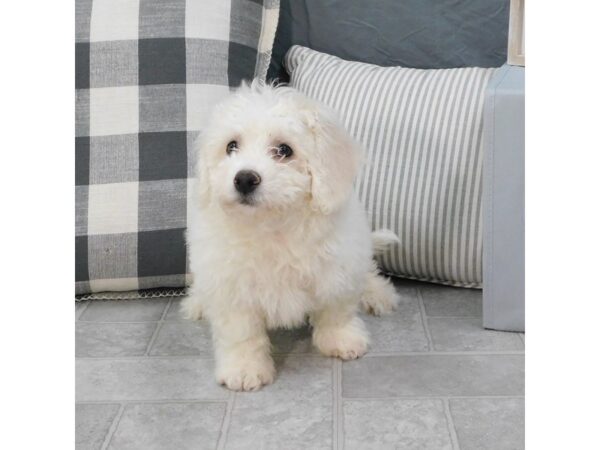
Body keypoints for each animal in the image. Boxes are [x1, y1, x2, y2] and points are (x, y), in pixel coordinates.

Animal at [180, 81, 400, 390]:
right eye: (231, 146)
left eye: (284, 150)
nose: (244, 178)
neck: (273, 226)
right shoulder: (232, 286)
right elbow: (241, 332)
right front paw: (244, 369)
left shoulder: (337, 267)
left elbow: (336, 308)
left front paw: (341, 339)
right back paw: (198, 303)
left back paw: (376, 292)